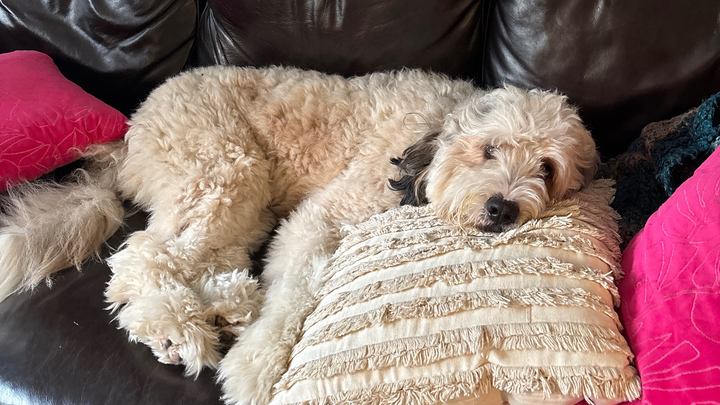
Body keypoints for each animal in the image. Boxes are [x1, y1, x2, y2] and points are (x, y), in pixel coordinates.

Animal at [0, 66, 599, 404]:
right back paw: (176, 331)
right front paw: (256, 368)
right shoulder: (322, 217)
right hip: (224, 168)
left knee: (201, 257)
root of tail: (129, 130)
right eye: (490, 148)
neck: (425, 143)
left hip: (241, 200)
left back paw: (226, 307)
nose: (502, 208)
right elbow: (292, 297)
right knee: (146, 256)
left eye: (547, 168)